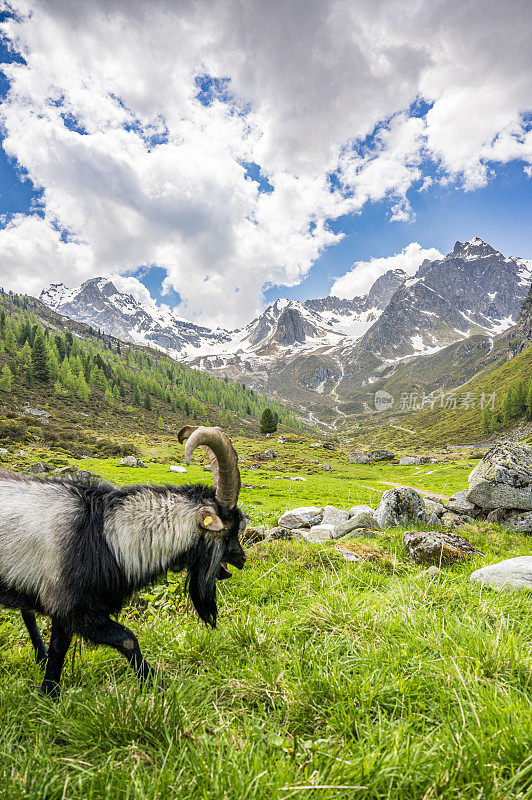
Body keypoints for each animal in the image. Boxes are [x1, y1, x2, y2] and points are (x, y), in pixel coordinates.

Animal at [0, 424, 246, 692]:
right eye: (229, 529)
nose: (241, 558)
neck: (108, 535)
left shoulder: (65, 609)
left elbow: (59, 649)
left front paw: (48, 692)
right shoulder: (73, 607)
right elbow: (126, 640)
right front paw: (158, 686)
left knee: (27, 614)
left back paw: (40, 656)